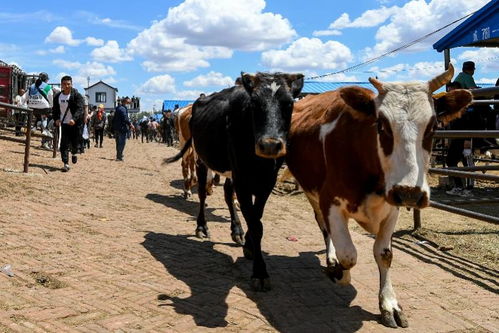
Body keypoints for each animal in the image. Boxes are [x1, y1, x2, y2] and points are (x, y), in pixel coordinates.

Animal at [166, 72, 302, 288]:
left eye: (289, 104)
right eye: (254, 103)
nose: (270, 145)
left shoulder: (267, 181)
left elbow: (256, 217)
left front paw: (248, 244)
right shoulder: (242, 178)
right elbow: (255, 224)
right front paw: (260, 272)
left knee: (228, 194)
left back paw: (236, 230)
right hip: (201, 158)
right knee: (202, 192)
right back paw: (201, 226)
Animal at [286, 63, 472, 328]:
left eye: (433, 126)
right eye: (381, 125)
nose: (409, 192)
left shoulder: (391, 208)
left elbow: (384, 255)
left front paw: (389, 304)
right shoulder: (330, 201)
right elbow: (348, 255)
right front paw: (339, 272)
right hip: (311, 191)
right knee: (323, 227)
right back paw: (331, 260)